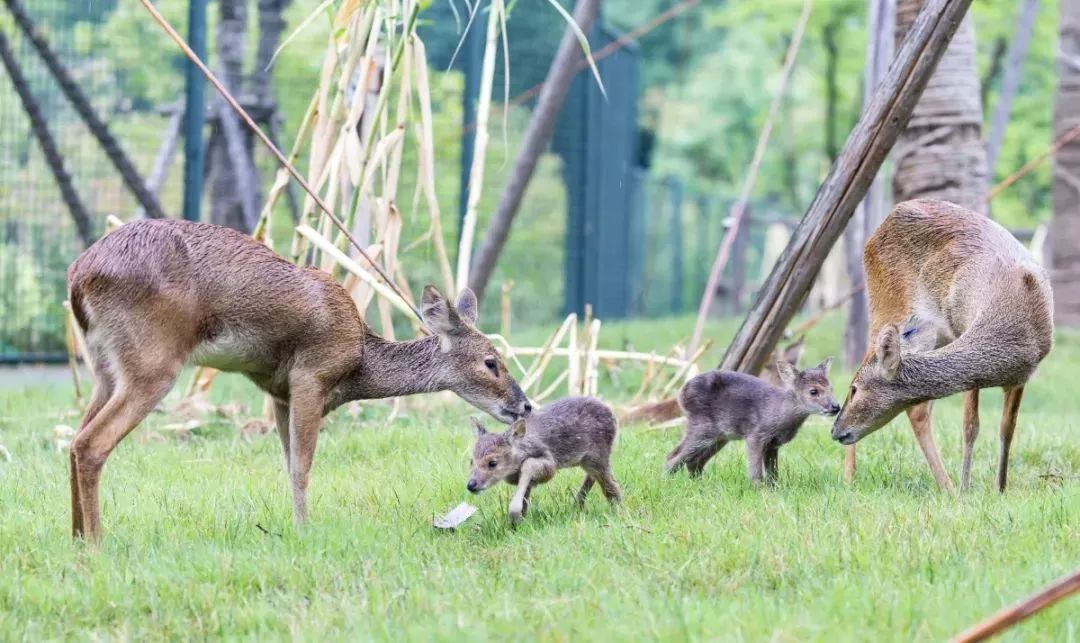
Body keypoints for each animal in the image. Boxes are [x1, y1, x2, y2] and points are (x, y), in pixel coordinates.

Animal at [65, 217, 529, 542]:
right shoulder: (311, 375)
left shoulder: (277, 391)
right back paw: (97, 544)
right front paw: (304, 530)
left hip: (106, 367)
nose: (524, 404)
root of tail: (78, 275)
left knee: (73, 440)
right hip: (153, 361)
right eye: (491, 362)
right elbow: (303, 466)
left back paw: (75, 538)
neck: (358, 363)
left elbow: (289, 464)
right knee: (90, 443)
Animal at [829, 201, 1049, 492]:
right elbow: (970, 425)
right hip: (885, 306)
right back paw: (849, 478)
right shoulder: (964, 331)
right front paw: (966, 489)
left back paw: (945, 485)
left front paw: (1000, 489)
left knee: (918, 408)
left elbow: (1007, 428)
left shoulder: (1023, 374)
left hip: (929, 333)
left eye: (856, 390)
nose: (835, 430)